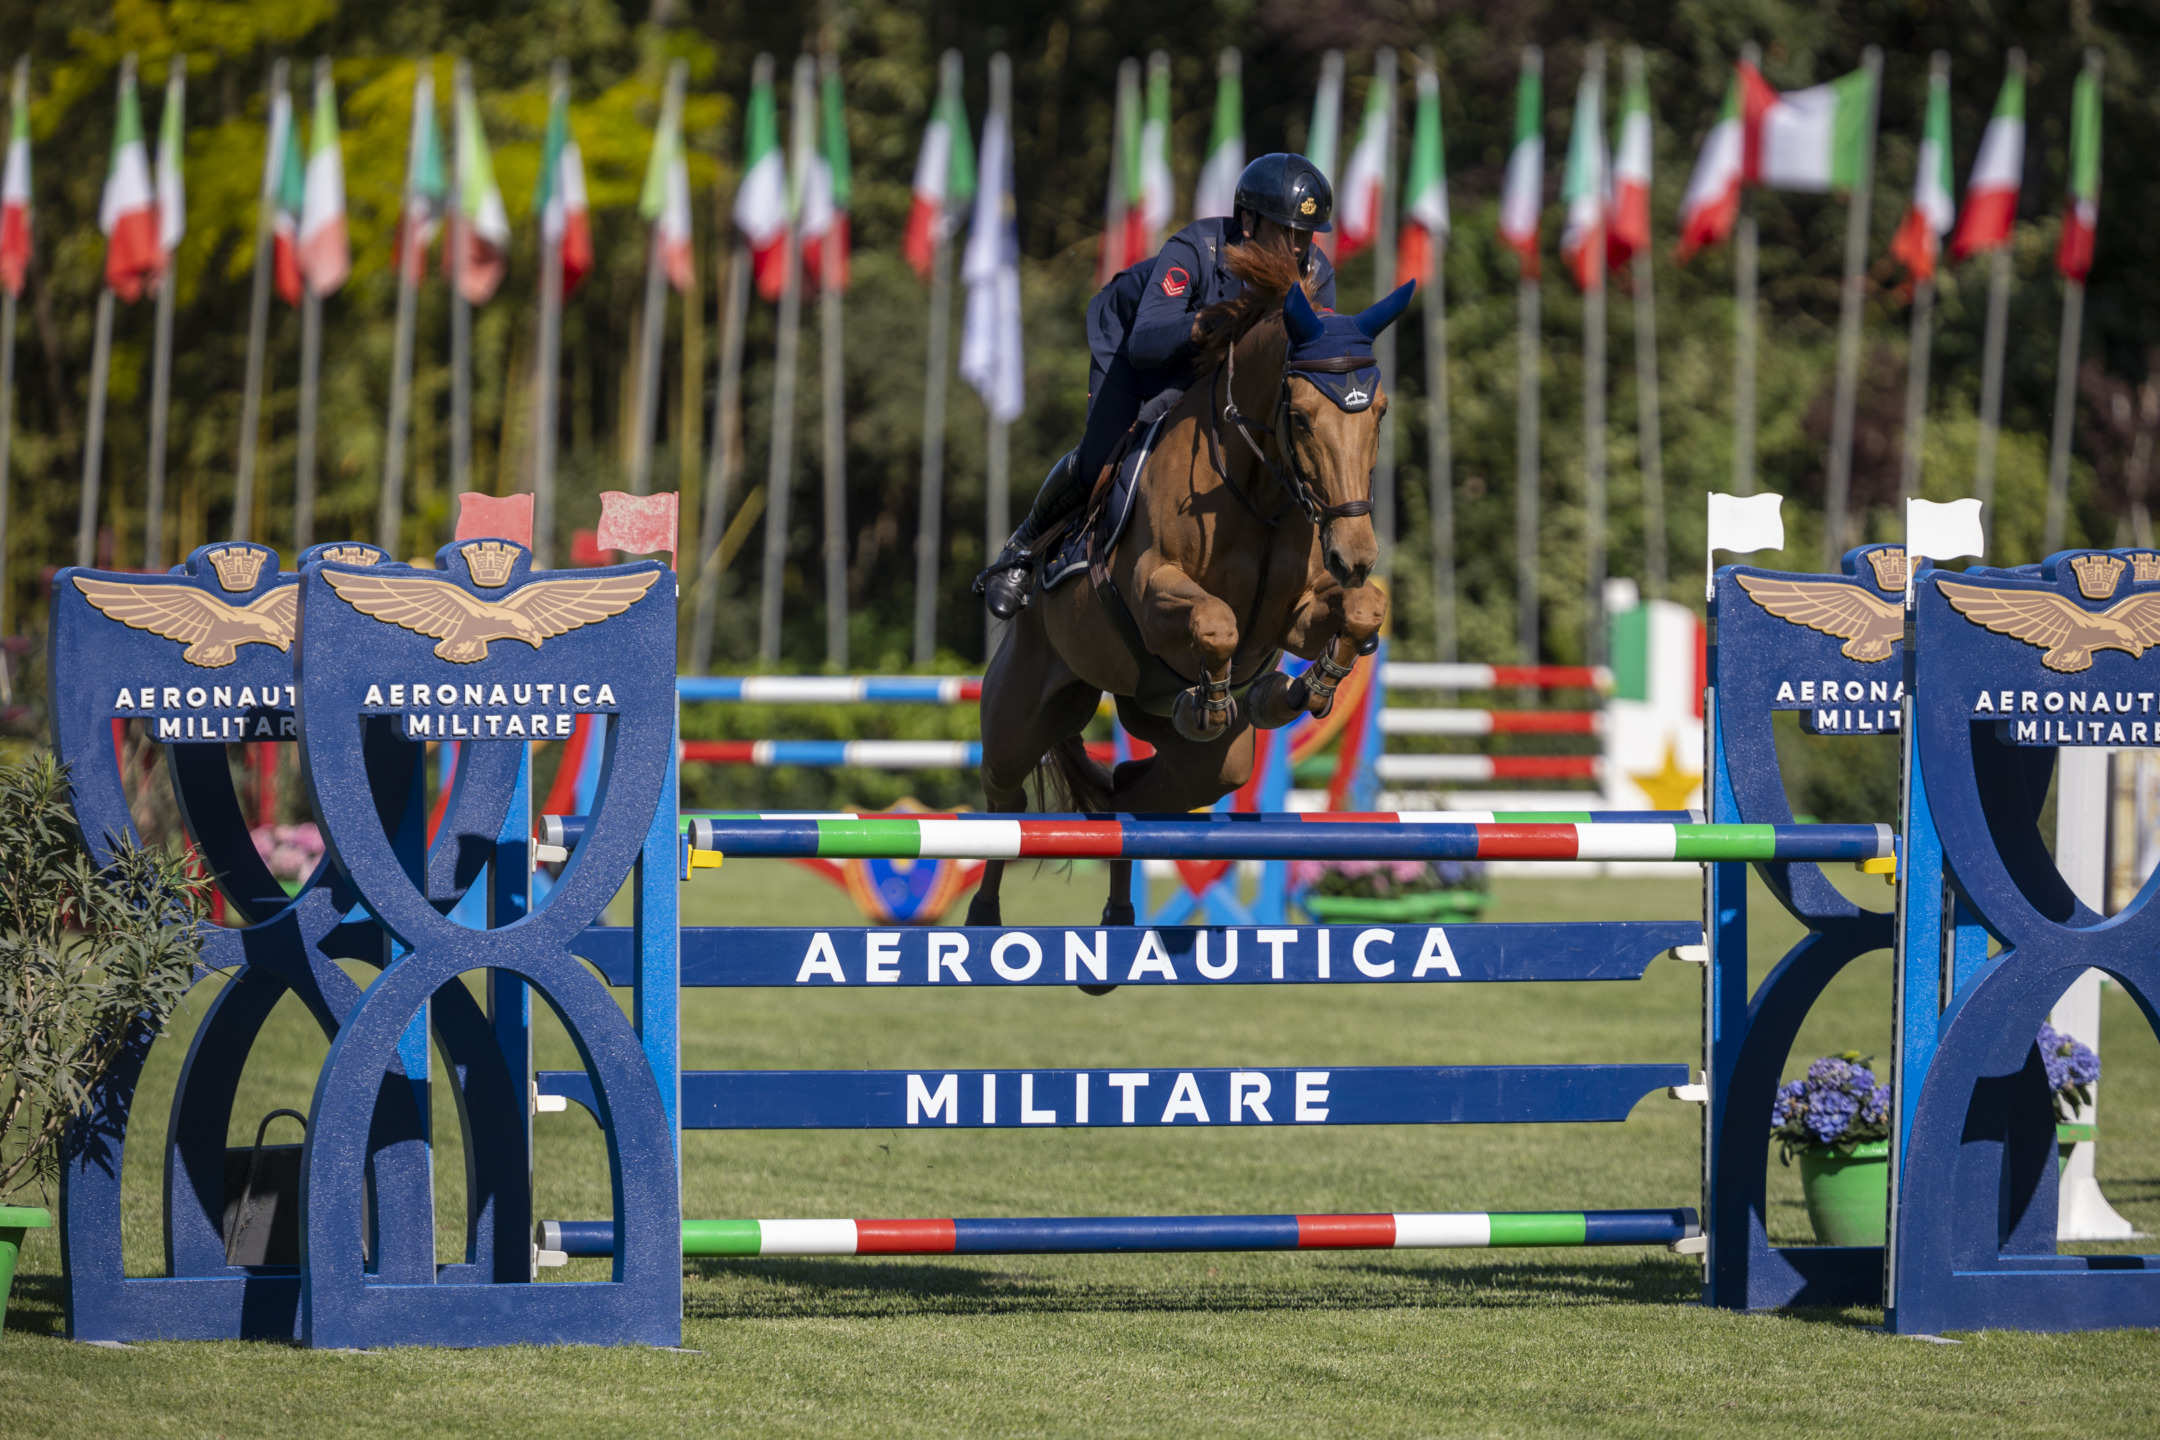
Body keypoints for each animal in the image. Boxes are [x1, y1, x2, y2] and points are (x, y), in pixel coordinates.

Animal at [967, 239, 1408, 924]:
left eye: (1379, 414)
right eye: (1301, 417)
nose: (1354, 555)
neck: (1259, 492)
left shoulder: (1297, 615)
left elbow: (1363, 612)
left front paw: (1298, 689)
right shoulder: (1155, 595)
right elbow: (1215, 621)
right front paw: (1222, 701)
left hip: (1199, 758)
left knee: (1131, 798)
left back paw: (1119, 910)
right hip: (1022, 712)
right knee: (1006, 803)